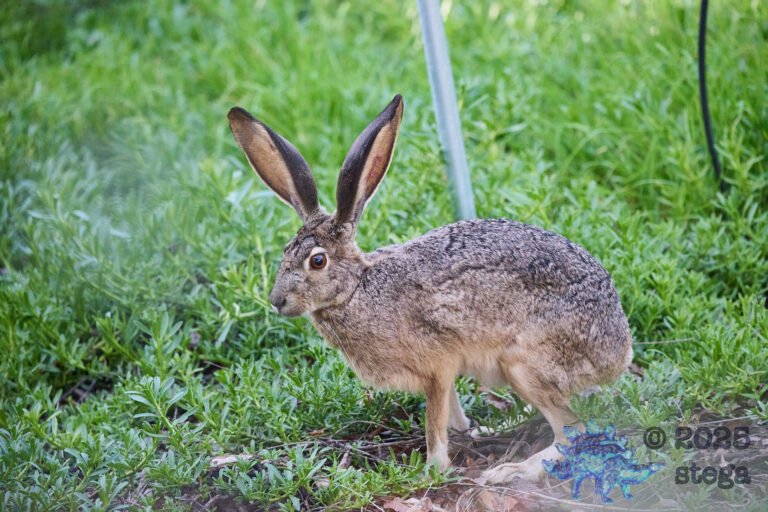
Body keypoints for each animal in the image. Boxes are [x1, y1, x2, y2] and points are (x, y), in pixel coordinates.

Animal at [227, 94, 633, 483]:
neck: (357, 289)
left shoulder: (437, 364)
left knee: (574, 432)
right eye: (285, 251)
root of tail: (619, 349)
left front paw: (433, 469)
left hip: (524, 365)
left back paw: (512, 471)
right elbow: (451, 410)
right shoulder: (444, 372)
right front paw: (467, 431)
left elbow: (434, 422)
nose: (278, 301)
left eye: (317, 261)